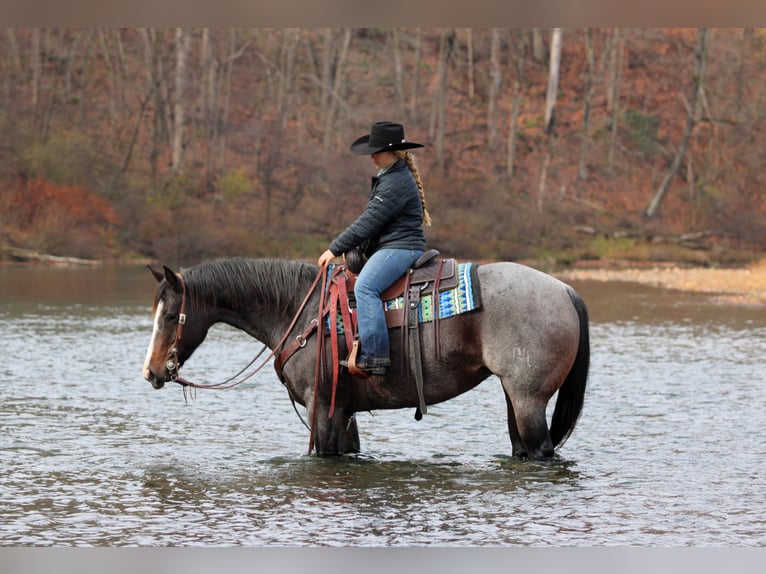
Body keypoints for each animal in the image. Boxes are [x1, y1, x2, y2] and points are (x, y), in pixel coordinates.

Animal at [142, 257, 589, 460]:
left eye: (170, 315)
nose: (151, 372)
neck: (300, 312)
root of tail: (565, 290)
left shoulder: (321, 407)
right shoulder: (344, 411)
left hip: (529, 400)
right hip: (514, 398)